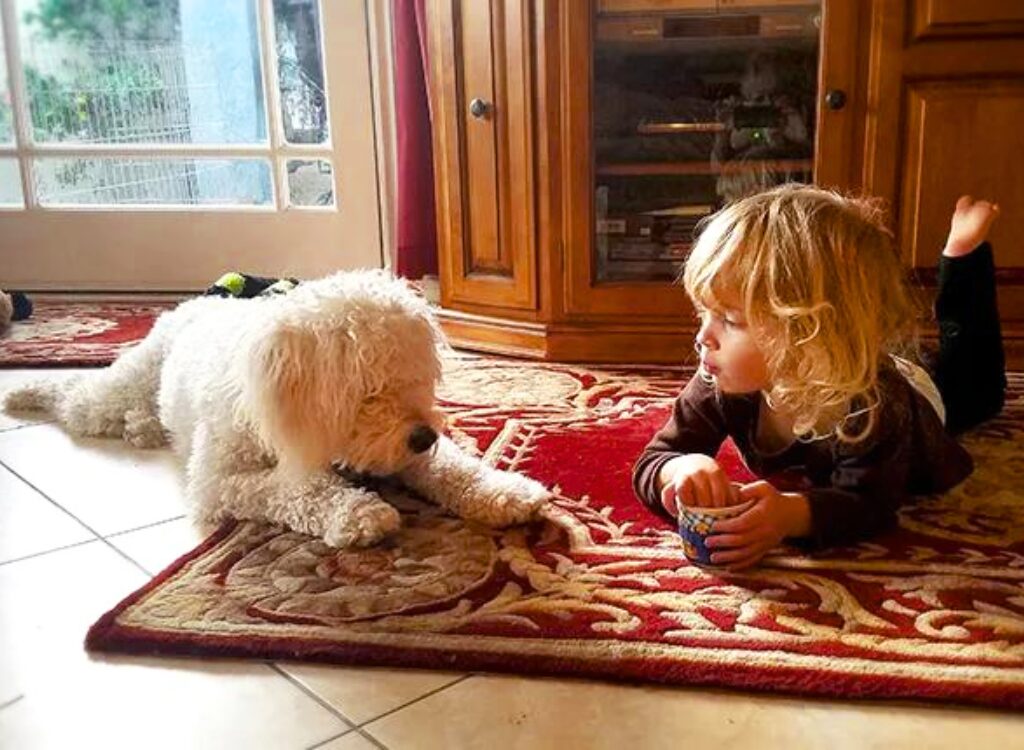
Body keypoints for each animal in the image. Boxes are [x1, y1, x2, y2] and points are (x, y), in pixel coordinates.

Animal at [2, 270, 552, 545]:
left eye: (417, 379)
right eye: (368, 392)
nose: (423, 436)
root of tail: (201, 301)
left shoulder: (401, 453)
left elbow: (453, 469)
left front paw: (502, 491)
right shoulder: (221, 480)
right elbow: (293, 489)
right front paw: (355, 512)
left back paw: (142, 427)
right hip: (118, 387)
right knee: (77, 396)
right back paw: (28, 393)